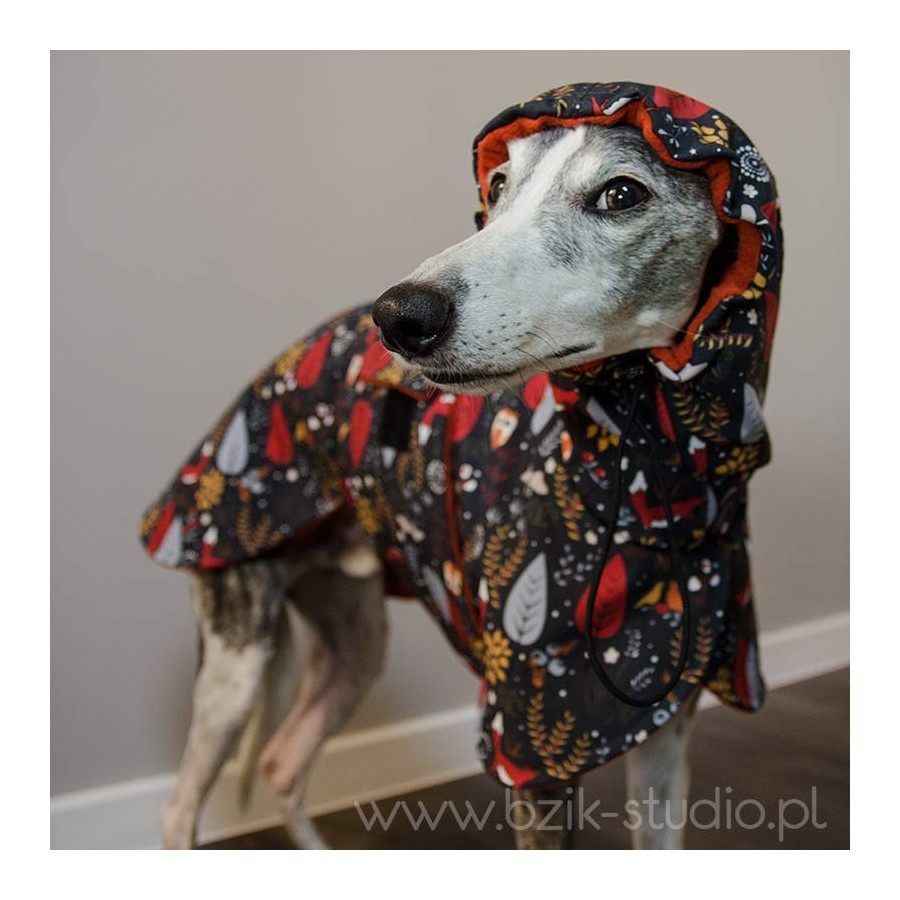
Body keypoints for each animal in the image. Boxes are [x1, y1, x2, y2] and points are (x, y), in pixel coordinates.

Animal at [142, 83, 781, 850]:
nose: (400, 316)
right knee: (181, 806)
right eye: (499, 185)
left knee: (282, 760)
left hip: (355, 640)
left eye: (622, 193)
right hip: (235, 653)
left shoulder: (665, 723)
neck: (650, 493)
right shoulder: (533, 752)